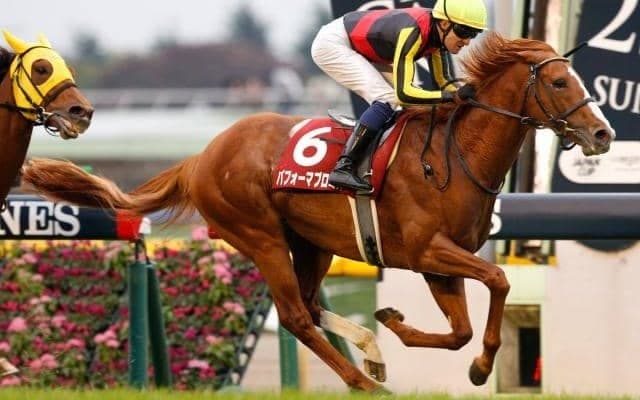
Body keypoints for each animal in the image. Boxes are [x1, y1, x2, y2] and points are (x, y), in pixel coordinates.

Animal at [21, 32, 614, 393]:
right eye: (558, 81)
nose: (603, 134)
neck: (453, 154)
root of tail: (201, 157)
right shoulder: (428, 250)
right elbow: (497, 281)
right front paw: (479, 364)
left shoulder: (437, 263)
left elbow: (462, 329)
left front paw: (402, 328)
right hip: (260, 236)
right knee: (295, 316)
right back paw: (363, 382)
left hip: (311, 243)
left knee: (307, 304)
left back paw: (372, 355)